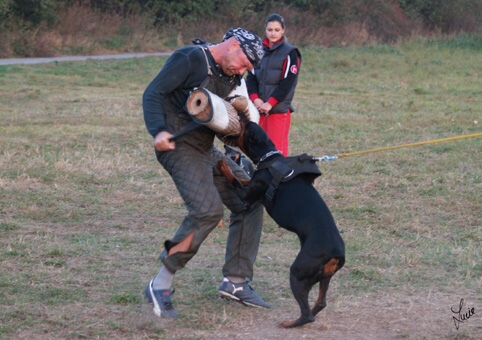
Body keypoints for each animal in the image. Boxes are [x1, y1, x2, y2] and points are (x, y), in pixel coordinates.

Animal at [220, 116, 344, 326]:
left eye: (247, 126)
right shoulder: (251, 185)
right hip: (323, 277)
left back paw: (289, 324)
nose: (242, 116)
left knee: (307, 314)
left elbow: (234, 179)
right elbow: (243, 178)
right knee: (320, 303)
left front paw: (222, 165)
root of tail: (337, 254)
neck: (269, 158)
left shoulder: (246, 198)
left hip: (298, 273)